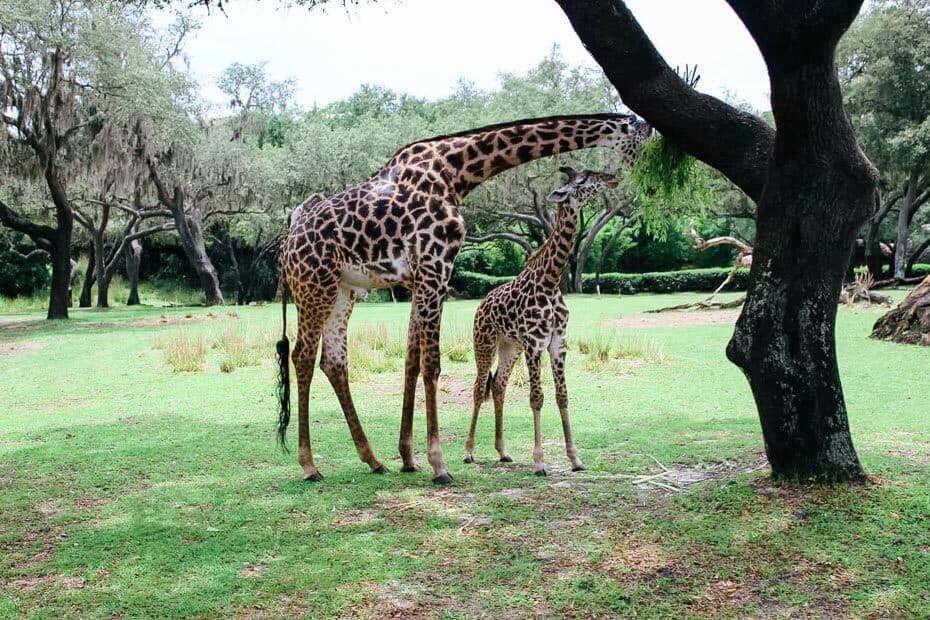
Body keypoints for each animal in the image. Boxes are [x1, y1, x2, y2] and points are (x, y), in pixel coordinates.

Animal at [464, 166, 616, 474]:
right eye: (583, 179)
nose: (611, 178)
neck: (551, 279)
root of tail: (481, 305)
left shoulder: (558, 342)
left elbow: (562, 396)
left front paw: (575, 459)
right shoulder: (535, 343)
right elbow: (536, 398)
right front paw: (539, 462)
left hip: (510, 346)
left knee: (498, 386)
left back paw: (503, 451)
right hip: (484, 343)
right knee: (478, 388)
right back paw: (470, 452)